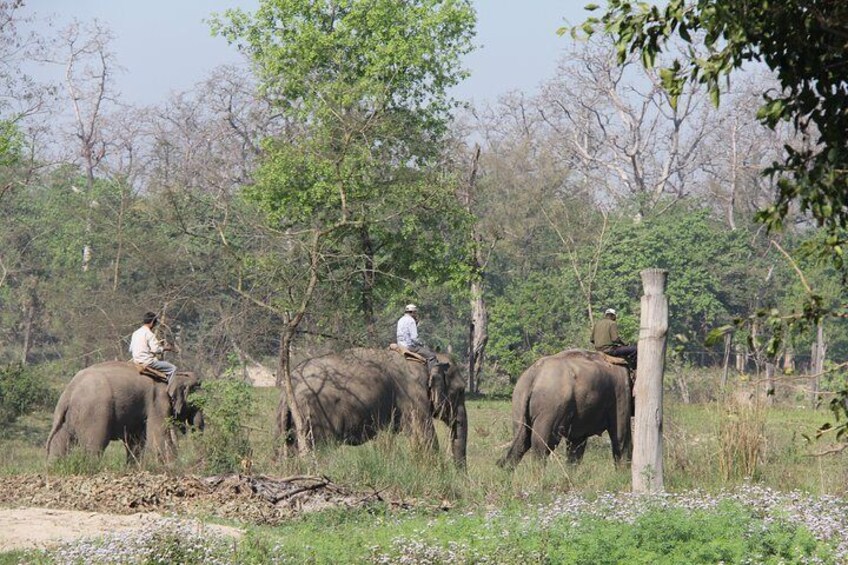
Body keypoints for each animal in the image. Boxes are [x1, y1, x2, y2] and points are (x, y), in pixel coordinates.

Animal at [46, 362, 204, 462]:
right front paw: (174, 468)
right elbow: (158, 437)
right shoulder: (157, 402)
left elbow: (136, 441)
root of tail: (69, 392)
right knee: (95, 447)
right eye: (195, 404)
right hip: (94, 414)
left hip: (67, 418)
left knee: (59, 446)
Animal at [278, 346, 468, 464]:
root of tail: (293, 383)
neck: (425, 359)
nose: (461, 479)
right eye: (460, 391)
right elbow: (425, 437)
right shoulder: (412, 395)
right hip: (317, 416)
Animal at [496, 348, 628, 468]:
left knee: (521, 441)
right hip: (551, 407)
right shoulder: (620, 393)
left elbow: (576, 444)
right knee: (543, 446)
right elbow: (620, 436)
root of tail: (534, 374)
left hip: (519, 401)